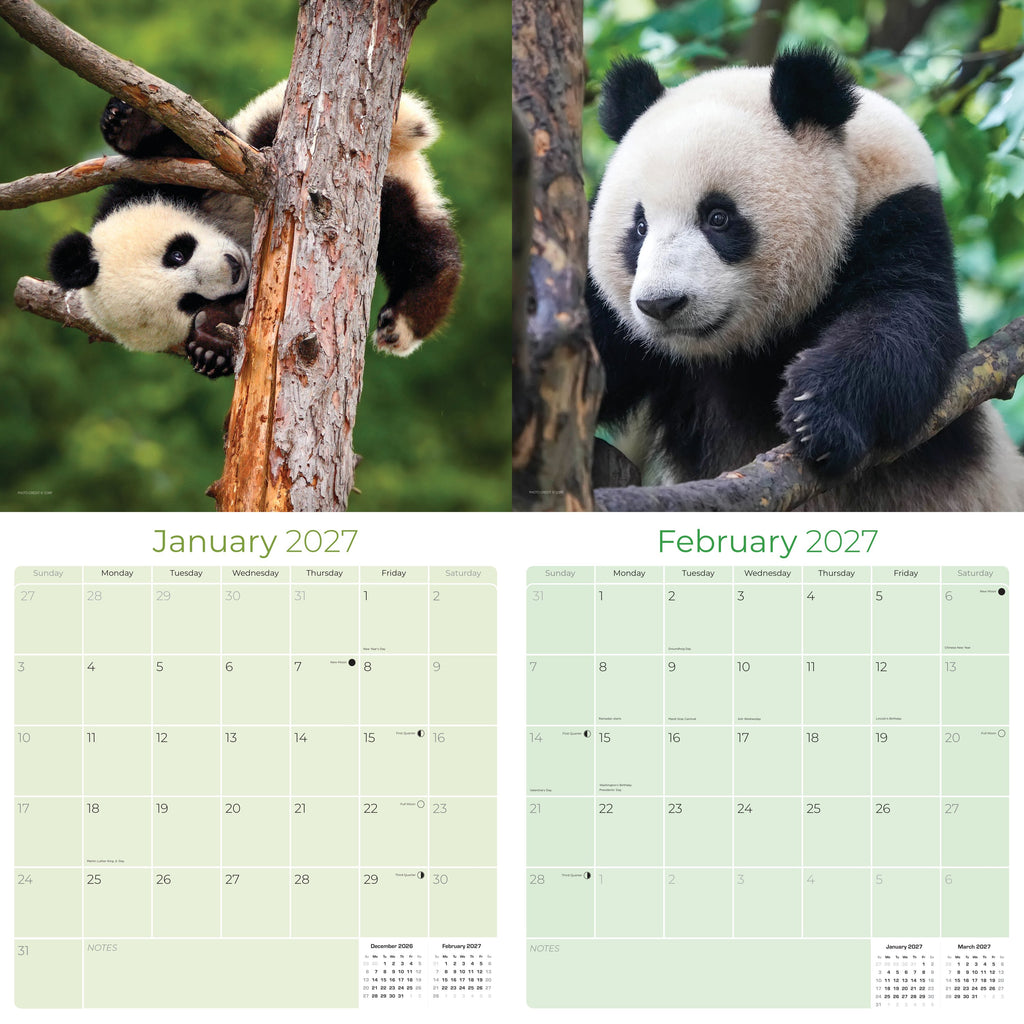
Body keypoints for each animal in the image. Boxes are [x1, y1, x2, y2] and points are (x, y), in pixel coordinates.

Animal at [49, 82, 462, 378]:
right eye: (189, 301)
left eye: (177, 253)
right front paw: (211, 343)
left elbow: (184, 148)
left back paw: (407, 316)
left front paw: (126, 125)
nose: (233, 269)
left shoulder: (158, 182)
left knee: (408, 235)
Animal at [587, 48, 1024, 511]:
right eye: (639, 227)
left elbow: (901, 325)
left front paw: (816, 412)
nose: (661, 304)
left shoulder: (896, 217)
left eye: (718, 217)